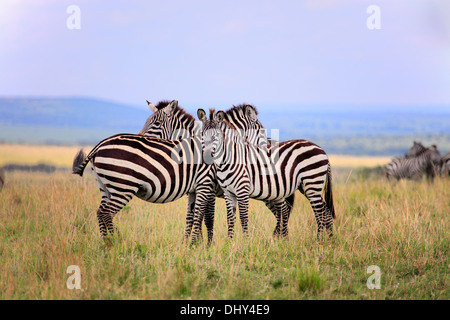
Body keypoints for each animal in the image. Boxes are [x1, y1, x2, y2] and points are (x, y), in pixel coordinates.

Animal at [72, 134, 218, 244]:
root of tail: (99, 145)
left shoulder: (195, 188)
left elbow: (192, 216)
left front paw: (190, 244)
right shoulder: (205, 183)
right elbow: (204, 217)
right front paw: (199, 245)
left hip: (105, 186)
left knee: (100, 211)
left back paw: (105, 243)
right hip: (123, 186)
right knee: (106, 212)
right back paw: (115, 240)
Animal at [139, 100, 298, 238]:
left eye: (156, 123)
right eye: (147, 122)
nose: (140, 138)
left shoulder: (208, 188)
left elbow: (207, 218)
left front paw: (205, 244)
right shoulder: (194, 189)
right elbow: (192, 217)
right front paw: (195, 242)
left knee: (283, 210)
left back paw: (281, 237)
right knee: (280, 211)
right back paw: (278, 236)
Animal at [195, 109, 336, 239]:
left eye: (216, 136)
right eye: (202, 135)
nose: (206, 156)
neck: (230, 159)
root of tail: (322, 150)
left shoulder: (242, 191)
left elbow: (243, 217)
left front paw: (245, 242)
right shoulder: (228, 193)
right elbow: (230, 219)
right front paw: (230, 243)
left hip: (312, 183)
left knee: (319, 212)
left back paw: (319, 240)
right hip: (305, 186)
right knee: (325, 211)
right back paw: (328, 240)